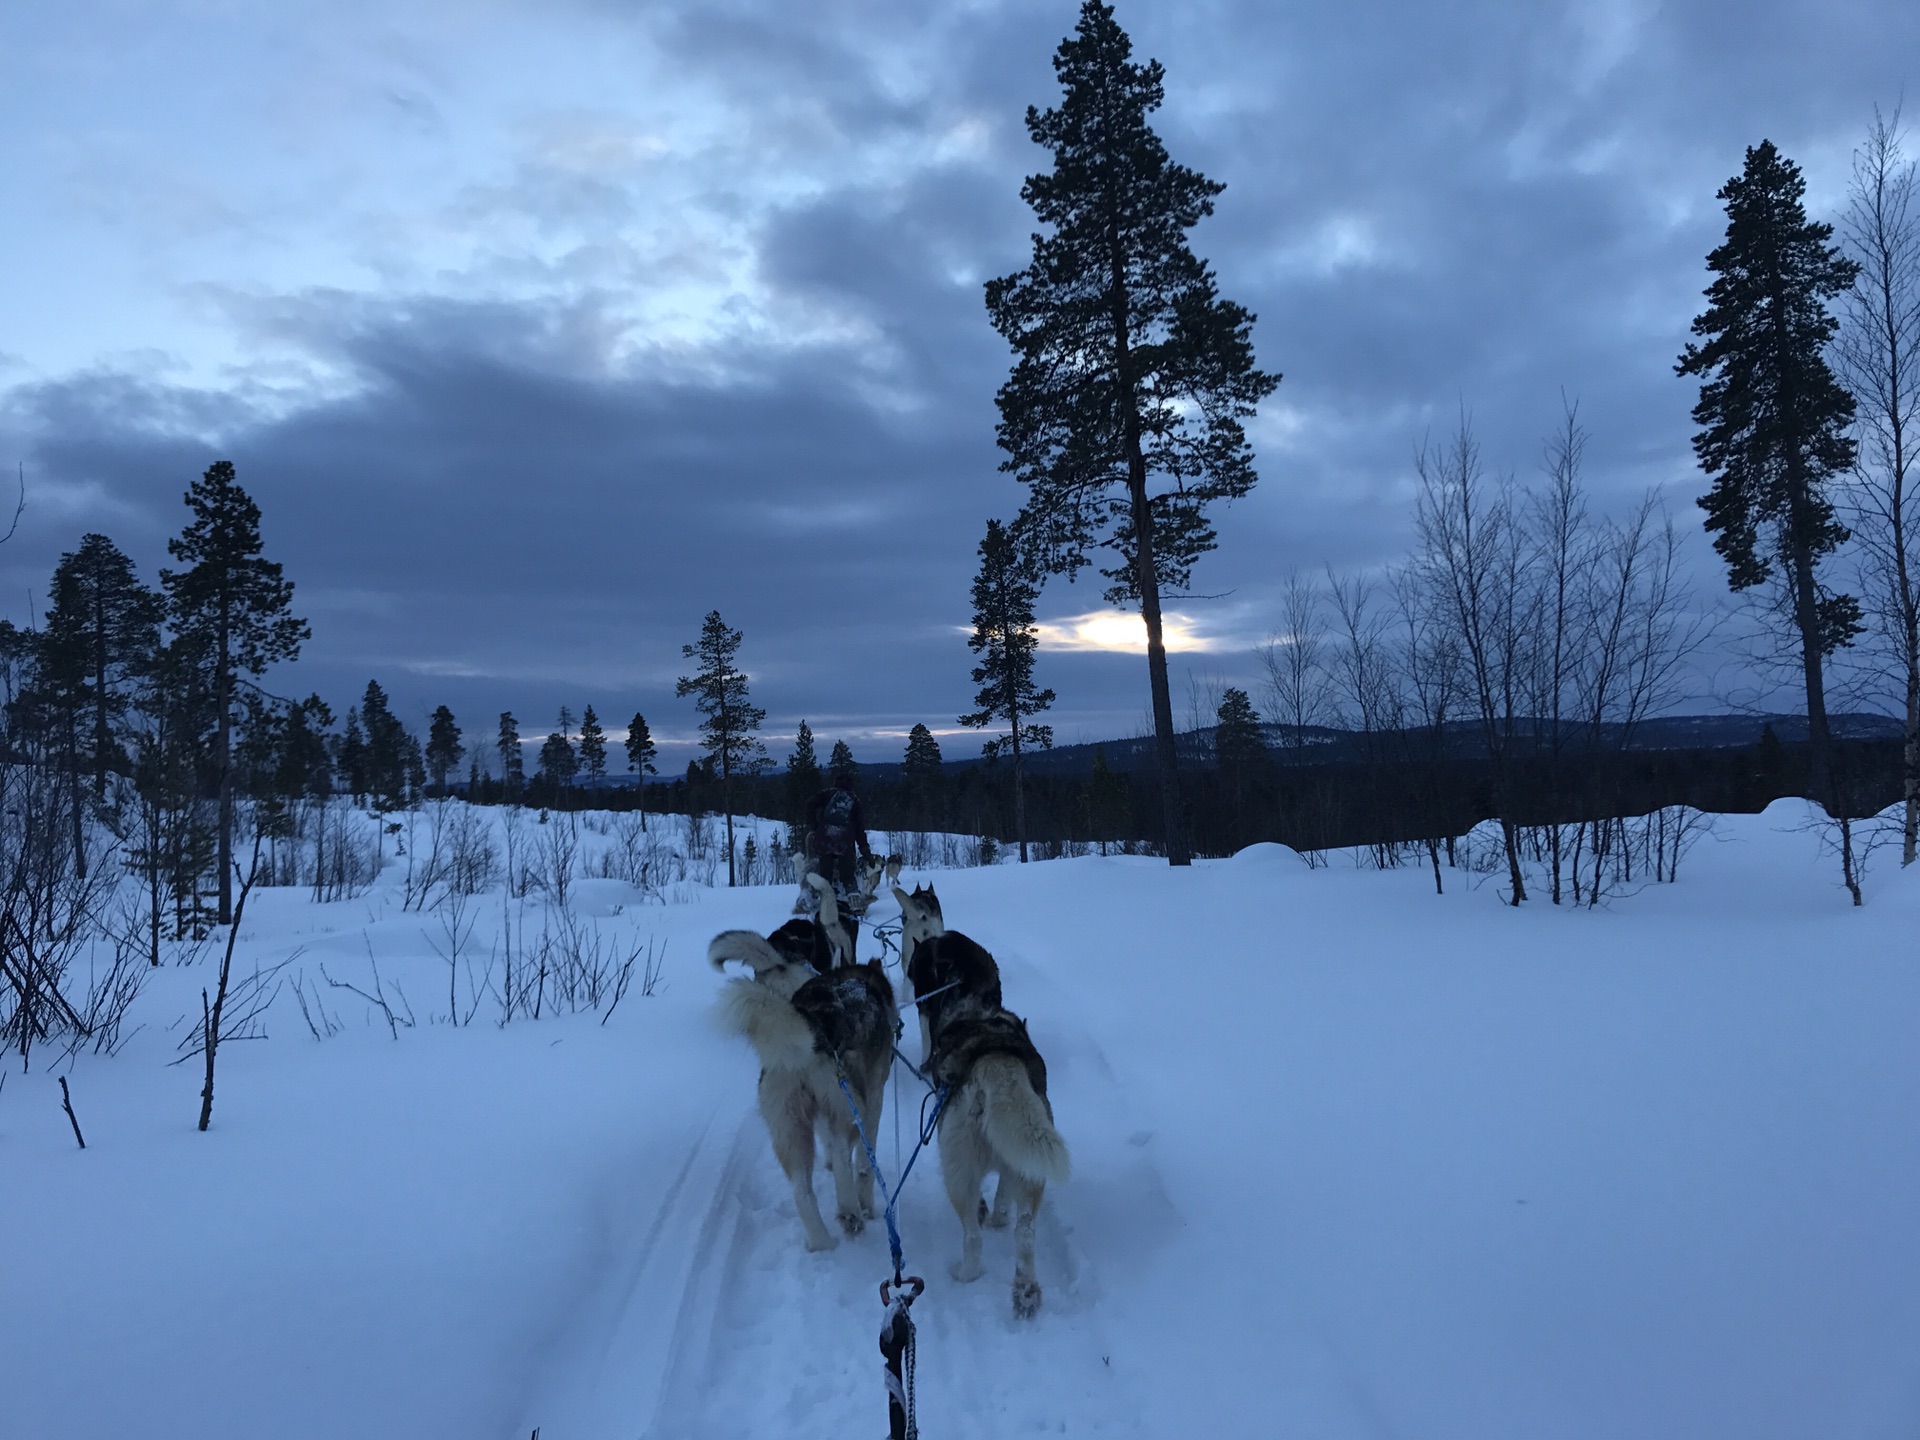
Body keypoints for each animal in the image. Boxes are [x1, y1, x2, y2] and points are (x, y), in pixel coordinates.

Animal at [710, 936, 902, 1251]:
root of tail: (816, 1023)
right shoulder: (874, 1100)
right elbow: (864, 1167)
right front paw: (867, 1206)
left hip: (790, 1128)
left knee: (802, 1190)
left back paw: (822, 1242)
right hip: (849, 1106)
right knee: (841, 1153)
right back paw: (850, 1212)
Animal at [925, 1006, 1067, 1320]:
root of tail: (996, 1066)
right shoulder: (1013, 1165)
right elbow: (1002, 1200)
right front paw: (999, 1218)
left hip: (958, 1176)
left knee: (972, 1237)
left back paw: (965, 1273)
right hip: (1029, 1172)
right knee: (1024, 1233)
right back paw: (1026, 1294)